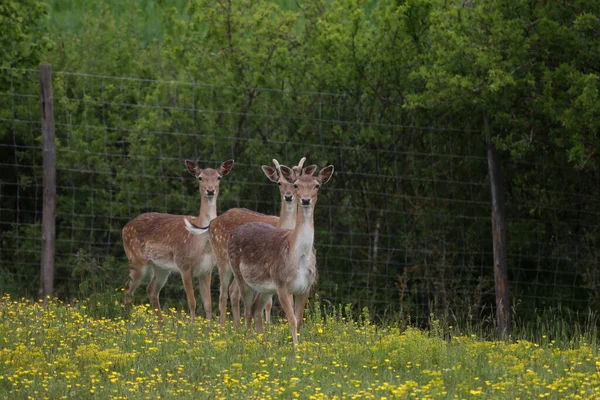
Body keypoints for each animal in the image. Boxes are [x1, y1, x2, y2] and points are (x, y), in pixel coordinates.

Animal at [120, 159, 233, 322]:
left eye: (219, 177)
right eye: (200, 178)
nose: (210, 191)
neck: (201, 243)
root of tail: (124, 227)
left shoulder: (207, 270)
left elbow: (208, 304)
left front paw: (210, 327)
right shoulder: (183, 265)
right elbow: (192, 302)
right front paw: (192, 325)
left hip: (160, 267)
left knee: (151, 290)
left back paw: (160, 324)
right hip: (136, 259)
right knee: (128, 289)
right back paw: (131, 321)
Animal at [183, 156, 316, 328]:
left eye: (295, 184)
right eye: (280, 183)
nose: (288, 196)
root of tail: (212, 223)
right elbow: (268, 302)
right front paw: (267, 326)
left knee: (233, 291)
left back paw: (236, 326)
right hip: (222, 257)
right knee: (223, 293)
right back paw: (223, 327)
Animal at [229, 164, 332, 346]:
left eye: (317, 186)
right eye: (296, 185)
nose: (305, 200)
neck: (299, 255)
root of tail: (233, 233)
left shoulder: (306, 286)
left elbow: (299, 321)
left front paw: (299, 349)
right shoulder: (282, 283)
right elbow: (292, 319)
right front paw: (296, 349)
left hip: (266, 287)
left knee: (256, 309)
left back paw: (264, 344)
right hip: (240, 274)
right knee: (246, 310)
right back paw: (248, 344)